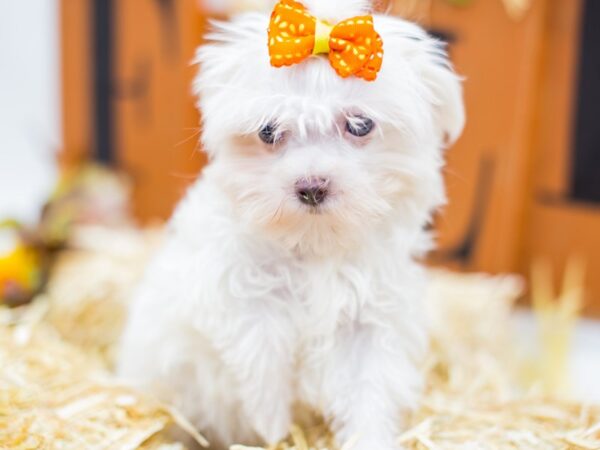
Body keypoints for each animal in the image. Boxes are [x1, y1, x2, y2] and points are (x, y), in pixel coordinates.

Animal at [117, 0, 464, 450]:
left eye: (360, 125)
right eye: (268, 131)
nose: (312, 187)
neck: (313, 245)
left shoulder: (372, 321)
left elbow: (369, 391)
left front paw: (368, 436)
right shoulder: (240, 294)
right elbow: (261, 357)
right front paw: (272, 425)